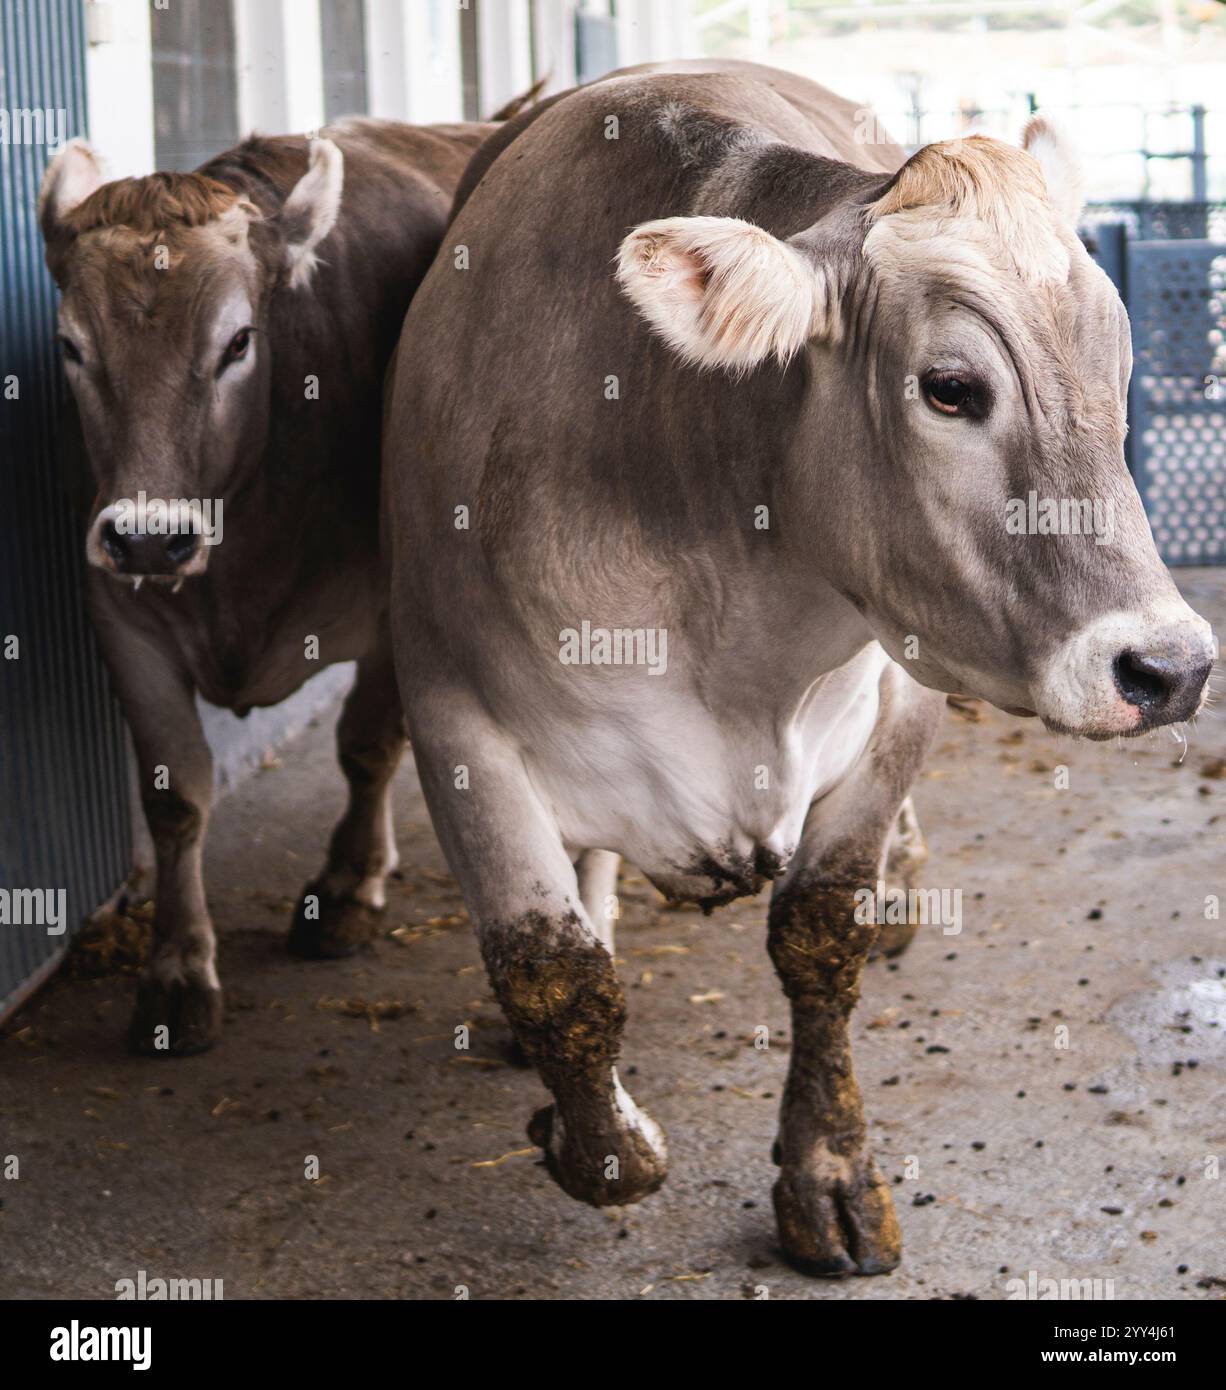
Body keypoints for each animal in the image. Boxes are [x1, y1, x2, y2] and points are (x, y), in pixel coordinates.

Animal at [36, 111, 516, 1056]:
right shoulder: (119, 615)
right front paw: (178, 969)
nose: (150, 539)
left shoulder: (395, 607)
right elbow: (175, 797)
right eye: (71, 346)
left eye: (238, 343)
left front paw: (347, 886)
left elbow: (366, 743)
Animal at [382, 58, 1217, 1275]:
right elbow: (555, 976)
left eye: (1118, 370)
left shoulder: (899, 701)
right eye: (951, 388)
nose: (1168, 665)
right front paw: (595, 1129)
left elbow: (822, 932)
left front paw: (827, 1175)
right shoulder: (447, 709)